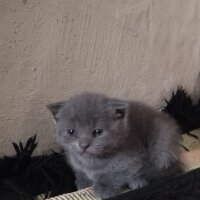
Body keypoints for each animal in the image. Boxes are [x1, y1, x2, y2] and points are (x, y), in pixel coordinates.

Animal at [47, 93, 182, 199]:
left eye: (97, 132)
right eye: (71, 131)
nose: (84, 145)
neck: (92, 162)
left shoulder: (133, 161)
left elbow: (116, 175)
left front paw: (104, 187)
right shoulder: (75, 162)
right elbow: (80, 172)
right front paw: (83, 182)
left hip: (162, 149)